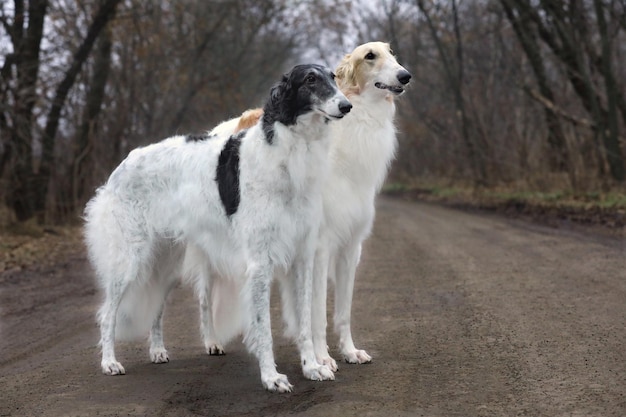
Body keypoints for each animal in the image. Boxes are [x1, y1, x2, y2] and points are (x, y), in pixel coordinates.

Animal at [84, 63, 352, 392]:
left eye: (333, 77)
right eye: (310, 79)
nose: (347, 106)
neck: (289, 153)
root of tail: (122, 165)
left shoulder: (303, 256)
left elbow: (304, 322)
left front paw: (312, 367)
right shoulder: (259, 262)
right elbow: (264, 328)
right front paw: (271, 377)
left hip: (167, 264)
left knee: (156, 307)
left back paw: (157, 350)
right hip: (129, 260)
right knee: (107, 314)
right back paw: (109, 362)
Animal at [185, 42, 410, 370]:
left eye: (391, 53)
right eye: (370, 56)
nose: (406, 75)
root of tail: (217, 129)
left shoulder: (350, 245)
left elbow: (342, 311)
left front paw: (349, 351)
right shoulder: (318, 245)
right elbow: (315, 313)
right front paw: (322, 357)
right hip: (212, 246)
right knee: (204, 297)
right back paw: (212, 341)